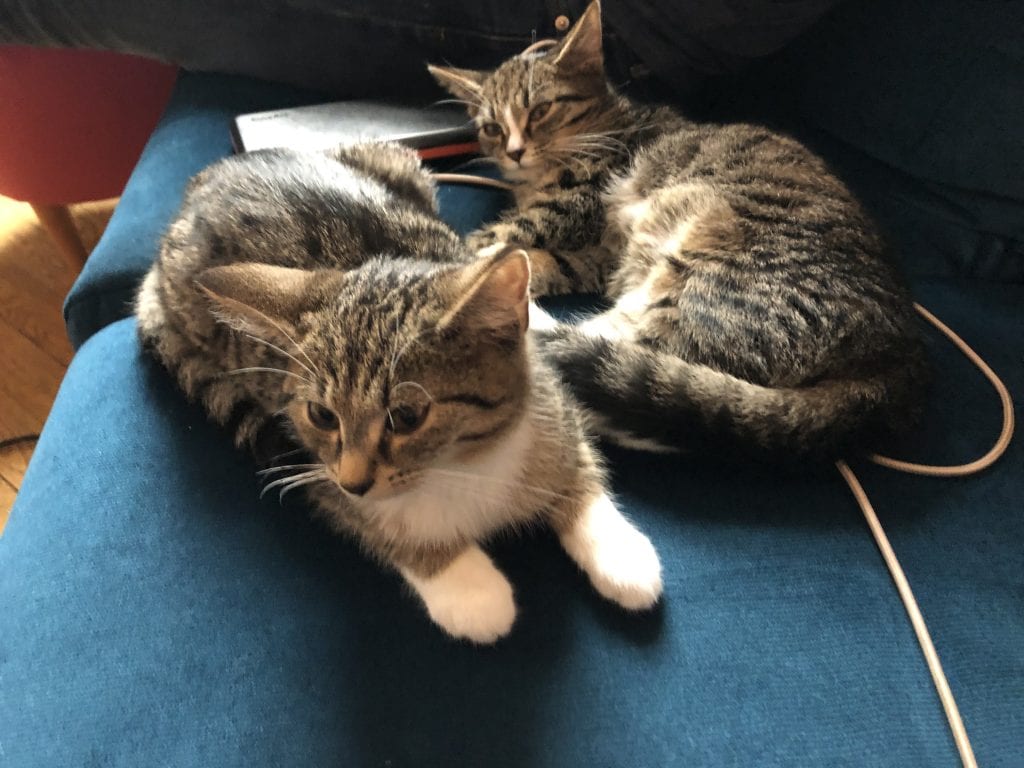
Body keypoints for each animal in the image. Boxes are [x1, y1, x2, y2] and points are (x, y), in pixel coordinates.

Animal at [136, 143, 663, 643]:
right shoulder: (316, 468)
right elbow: (377, 527)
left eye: (407, 416)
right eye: (321, 415)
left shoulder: (554, 402)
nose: (354, 482)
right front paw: (468, 587)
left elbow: (578, 464)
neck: (462, 466)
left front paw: (618, 551)